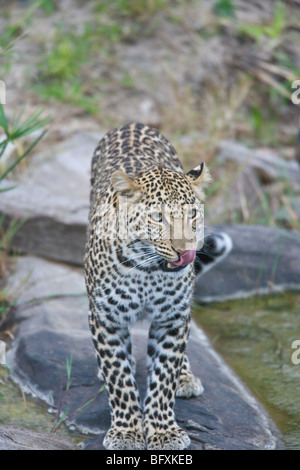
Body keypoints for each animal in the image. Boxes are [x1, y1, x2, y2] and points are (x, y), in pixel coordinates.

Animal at [84, 123, 232, 450]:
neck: (149, 270)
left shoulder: (172, 317)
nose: (186, 251)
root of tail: (133, 123)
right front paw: (127, 432)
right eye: (158, 217)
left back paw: (186, 378)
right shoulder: (105, 318)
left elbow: (164, 375)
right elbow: (119, 377)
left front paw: (164, 431)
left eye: (192, 214)